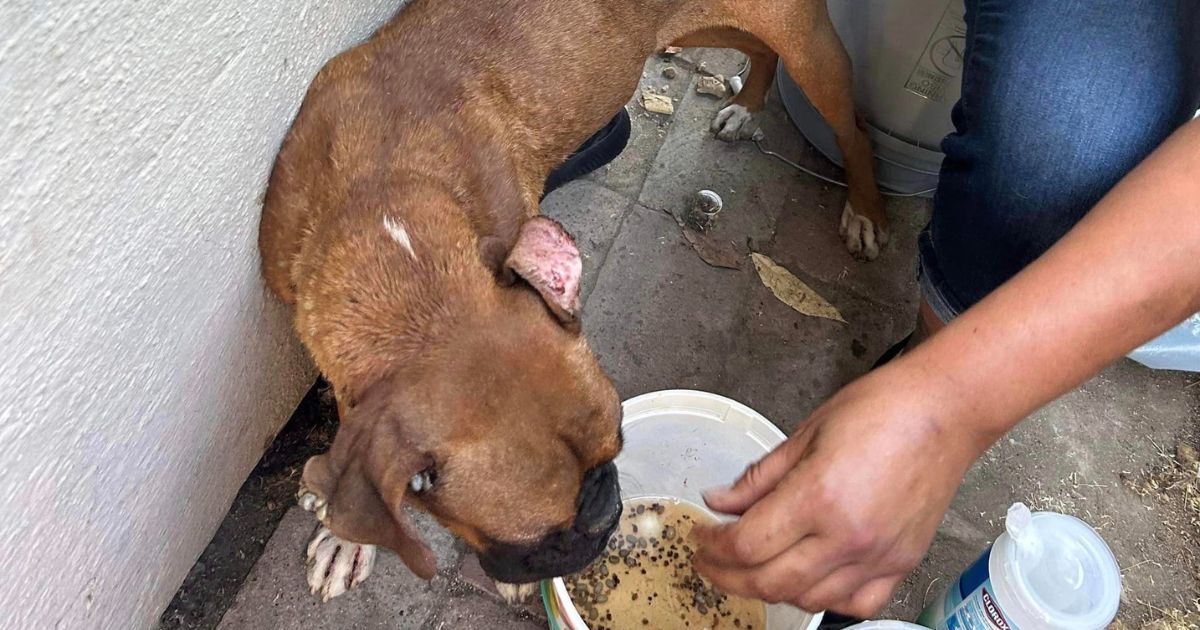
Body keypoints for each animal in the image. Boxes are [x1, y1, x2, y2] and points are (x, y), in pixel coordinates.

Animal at [258, 0, 888, 602]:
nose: (608, 514)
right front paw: (345, 535)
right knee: (759, 52)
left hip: (807, 46)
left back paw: (865, 209)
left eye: (619, 444)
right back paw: (749, 105)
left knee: (854, 127)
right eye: (540, 535)